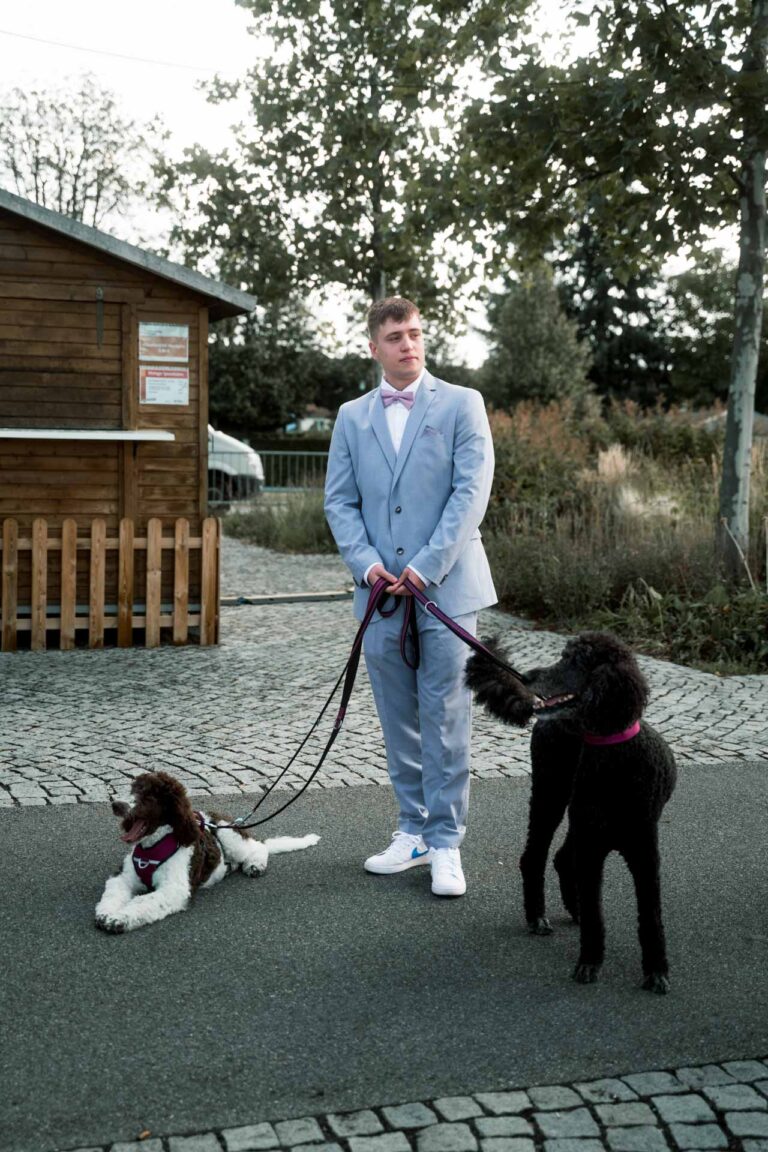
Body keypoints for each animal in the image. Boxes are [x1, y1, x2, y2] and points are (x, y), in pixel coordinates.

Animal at [95, 769, 317, 930]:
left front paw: (119, 919)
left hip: (231, 838)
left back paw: (255, 865)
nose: (116, 804)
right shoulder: (122, 876)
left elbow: (143, 902)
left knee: (259, 846)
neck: (154, 845)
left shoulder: (174, 889)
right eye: (132, 787)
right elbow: (113, 894)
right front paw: (106, 914)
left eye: (149, 796)